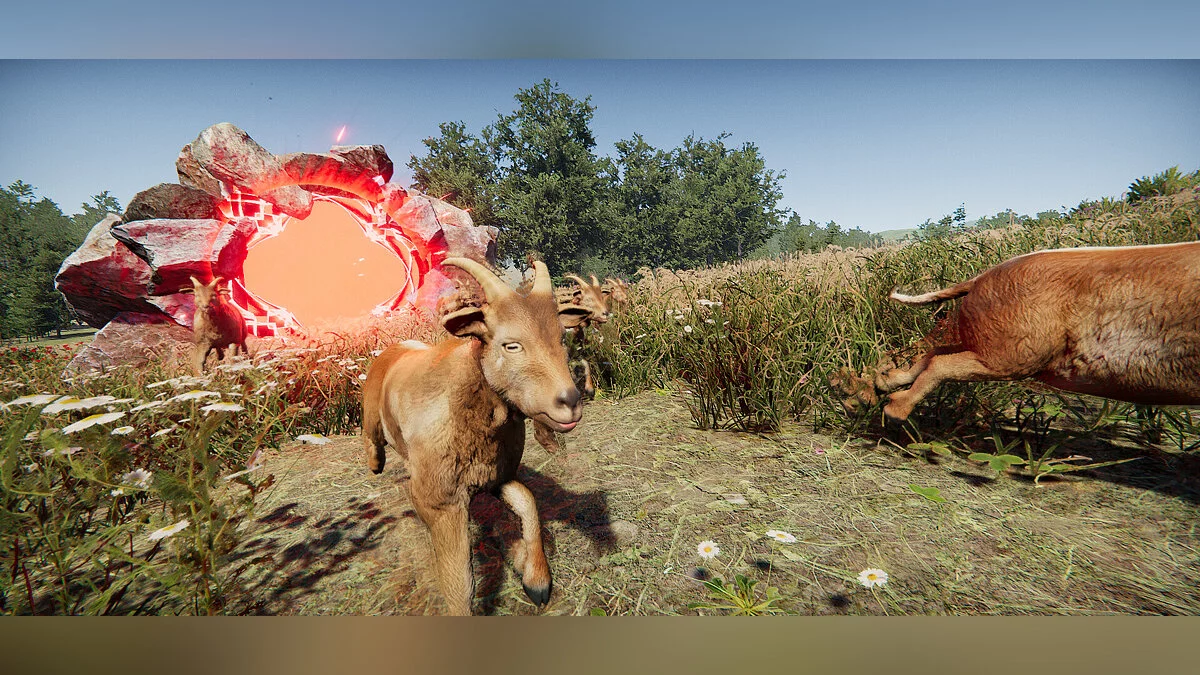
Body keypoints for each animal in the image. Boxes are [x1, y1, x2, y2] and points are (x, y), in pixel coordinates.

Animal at [361, 257, 592, 615]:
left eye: (562, 338)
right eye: (511, 345)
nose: (570, 401)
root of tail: (398, 346)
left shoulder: (495, 475)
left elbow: (528, 502)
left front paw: (536, 581)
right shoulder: (441, 502)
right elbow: (460, 582)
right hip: (371, 413)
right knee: (371, 437)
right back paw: (376, 463)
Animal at [876, 241, 1200, 422]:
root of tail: (980, 277)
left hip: (992, 342)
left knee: (933, 353)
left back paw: (883, 385)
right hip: (1015, 353)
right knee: (941, 362)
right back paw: (893, 412)